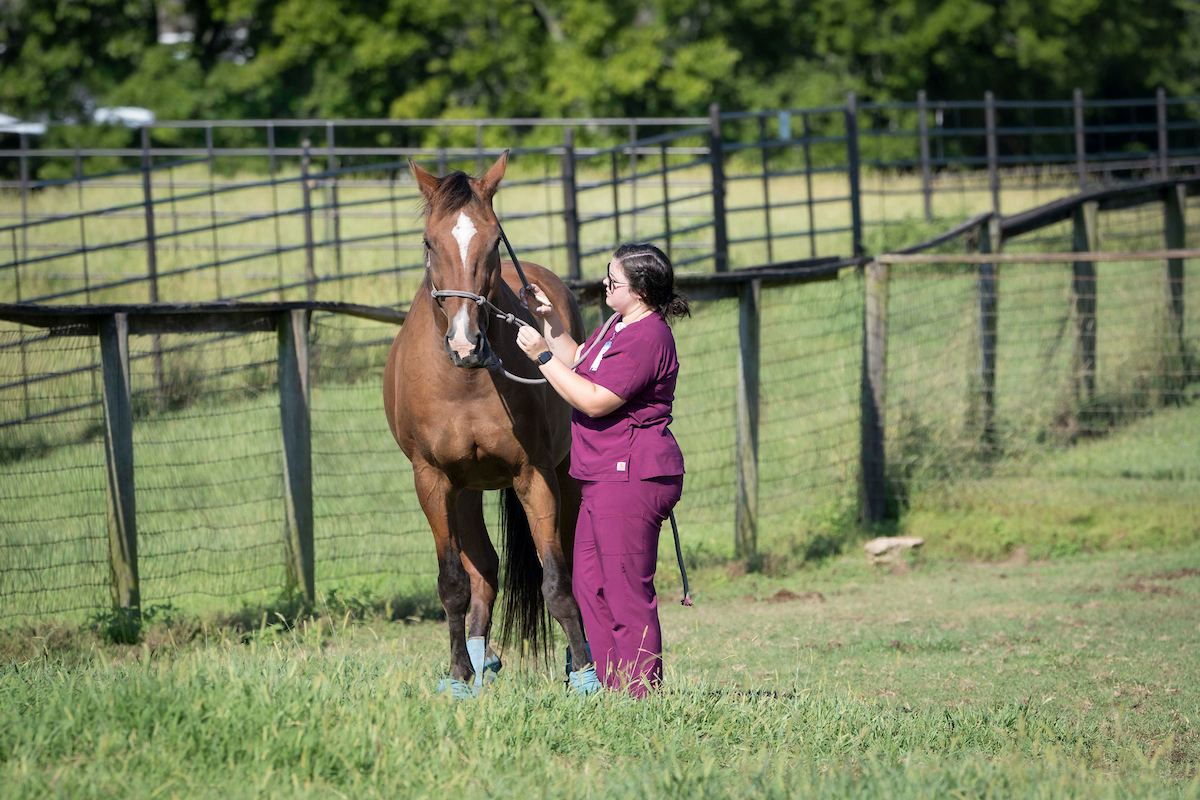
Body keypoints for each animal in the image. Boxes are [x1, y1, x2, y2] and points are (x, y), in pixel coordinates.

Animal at [383, 152, 590, 691]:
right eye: (428, 242)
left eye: (494, 240)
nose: (464, 342)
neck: (467, 380)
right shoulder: (432, 480)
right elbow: (454, 582)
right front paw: (458, 674)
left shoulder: (536, 475)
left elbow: (558, 579)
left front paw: (585, 673)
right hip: (465, 489)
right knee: (484, 571)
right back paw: (480, 659)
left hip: (562, 476)